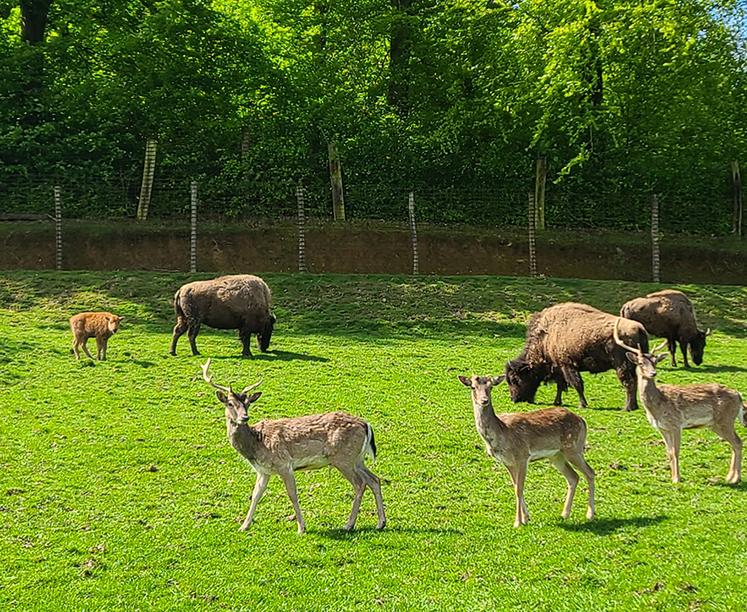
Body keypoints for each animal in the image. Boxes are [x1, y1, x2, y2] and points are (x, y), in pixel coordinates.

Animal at [199, 360, 386, 532]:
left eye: (248, 403)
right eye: (230, 403)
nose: (244, 417)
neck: (256, 445)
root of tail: (366, 425)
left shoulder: (284, 464)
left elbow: (292, 495)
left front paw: (301, 528)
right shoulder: (264, 470)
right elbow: (256, 495)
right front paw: (244, 526)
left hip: (343, 458)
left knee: (360, 484)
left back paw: (349, 524)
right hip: (357, 459)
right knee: (374, 480)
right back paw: (380, 523)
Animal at [456, 372, 596, 524]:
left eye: (491, 387)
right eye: (473, 387)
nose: (484, 400)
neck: (501, 433)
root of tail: (582, 421)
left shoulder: (522, 455)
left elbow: (519, 488)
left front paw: (517, 522)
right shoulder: (507, 462)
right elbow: (516, 487)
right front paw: (526, 518)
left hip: (574, 448)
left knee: (590, 472)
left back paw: (590, 515)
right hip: (557, 455)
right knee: (573, 477)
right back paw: (564, 514)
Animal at [506, 302, 652, 412]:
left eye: (515, 379)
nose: (514, 399)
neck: (546, 336)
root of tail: (639, 328)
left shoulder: (567, 365)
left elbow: (576, 384)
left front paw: (582, 405)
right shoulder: (559, 367)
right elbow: (561, 385)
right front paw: (557, 402)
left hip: (621, 366)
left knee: (629, 383)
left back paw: (627, 408)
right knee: (635, 381)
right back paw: (633, 406)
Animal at [612, 318, 744, 486]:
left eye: (655, 362)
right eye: (641, 363)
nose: (653, 373)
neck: (656, 408)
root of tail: (739, 396)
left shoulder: (676, 424)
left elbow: (675, 452)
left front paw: (677, 479)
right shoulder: (662, 428)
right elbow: (669, 452)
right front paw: (672, 477)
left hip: (725, 420)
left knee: (738, 442)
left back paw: (735, 478)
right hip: (716, 424)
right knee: (734, 444)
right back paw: (729, 477)